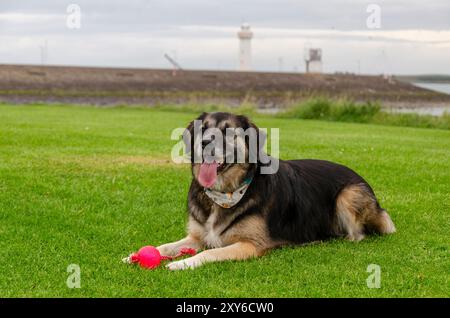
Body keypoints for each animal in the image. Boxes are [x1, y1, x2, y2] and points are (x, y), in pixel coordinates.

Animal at [157, 112, 394, 270]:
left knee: (358, 235)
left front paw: (183, 262)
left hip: (349, 194)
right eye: (203, 129)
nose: (205, 142)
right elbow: (166, 246)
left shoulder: (251, 245)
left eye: (227, 131)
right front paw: (154, 253)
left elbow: (210, 251)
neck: (226, 194)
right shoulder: (197, 236)